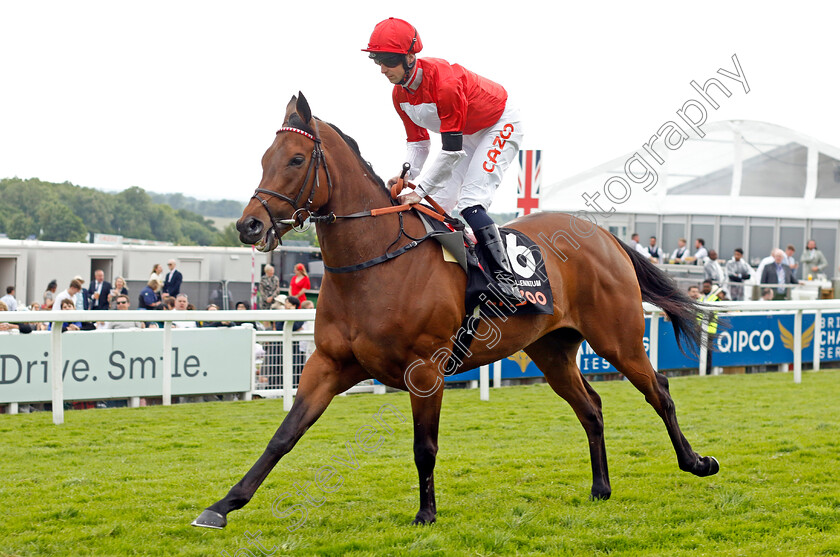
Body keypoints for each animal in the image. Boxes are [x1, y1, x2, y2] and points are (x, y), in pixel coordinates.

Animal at [194, 93, 720, 528]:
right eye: (265, 159)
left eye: (297, 159)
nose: (248, 225)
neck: (377, 263)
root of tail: (605, 236)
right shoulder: (329, 363)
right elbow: (283, 435)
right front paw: (223, 505)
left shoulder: (426, 369)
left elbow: (424, 446)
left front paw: (426, 513)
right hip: (551, 351)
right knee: (591, 408)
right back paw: (601, 487)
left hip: (619, 337)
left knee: (660, 391)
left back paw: (696, 462)